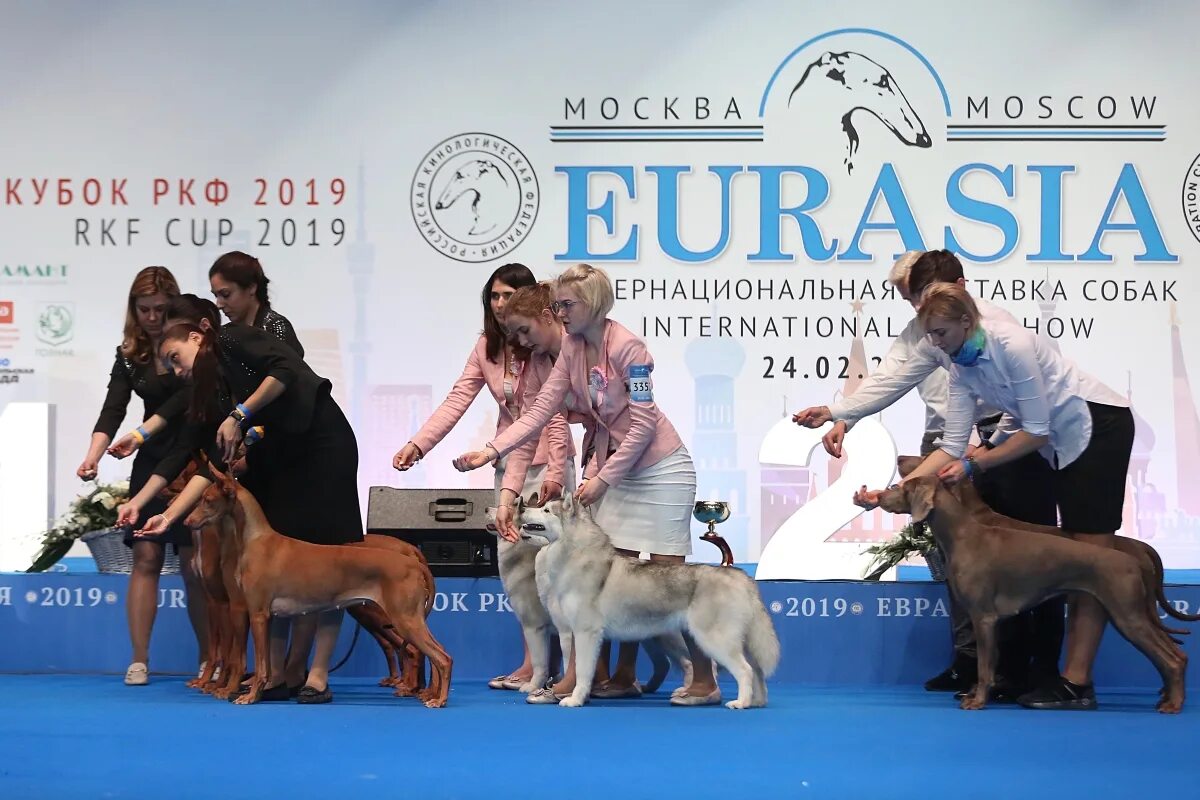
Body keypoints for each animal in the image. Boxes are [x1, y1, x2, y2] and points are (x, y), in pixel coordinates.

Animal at [184, 462, 451, 705]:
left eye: (207, 499)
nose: (186, 522)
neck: (255, 540)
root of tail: (414, 560)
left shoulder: (257, 613)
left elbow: (259, 665)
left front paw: (249, 696)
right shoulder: (267, 616)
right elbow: (266, 663)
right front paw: (259, 691)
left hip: (403, 619)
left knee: (442, 657)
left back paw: (438, 699)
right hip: (410, 618)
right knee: (437, 654)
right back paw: (431, 694)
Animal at [513, 496, 777, 710]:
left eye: (546, 510)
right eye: (540, 506)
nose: (521, 506)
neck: (574, 554)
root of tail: (740, 575)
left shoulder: (586, 632)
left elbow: (582, 672)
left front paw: (575, 700)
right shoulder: (572, 632)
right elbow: (574, 667)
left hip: (714, 640)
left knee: (745, 670)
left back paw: (740, 702)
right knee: (757, 672)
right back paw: (756, 702)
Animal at [878, 474, 1185, 714]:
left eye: (900, 487)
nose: (879, 496)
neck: (962, 533)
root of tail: (1134, 559)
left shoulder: (983, 617)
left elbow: (984, 668)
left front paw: (977, 701)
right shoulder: (993, 622)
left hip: (1128, 616)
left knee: (1172, 659)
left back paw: (1173, 704)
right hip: (1130, 614)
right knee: (1176, 655)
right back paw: (1168, 698)